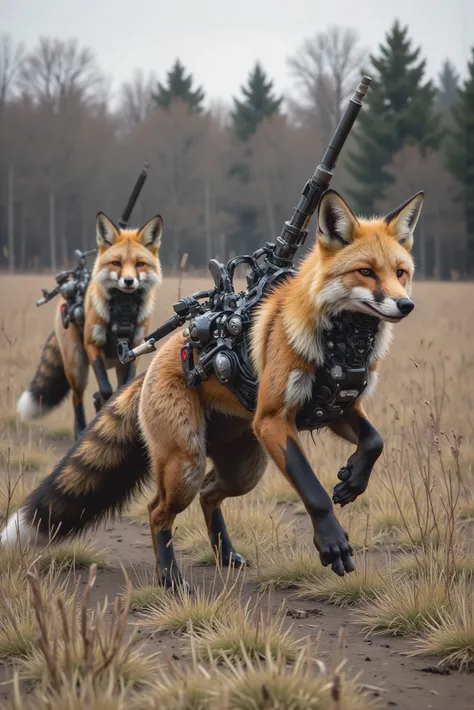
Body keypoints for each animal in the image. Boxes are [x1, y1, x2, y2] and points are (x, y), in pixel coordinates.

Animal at [16, 213, 163, 439]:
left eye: (140, 264)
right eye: (116, 263)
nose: (129, 281)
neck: (124, 309)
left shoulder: (136, 348)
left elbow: (121, 388)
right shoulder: (93, 344)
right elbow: (106, 388)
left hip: (112, 364)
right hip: (76, 368)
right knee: (77, 398)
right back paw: (80, 430)